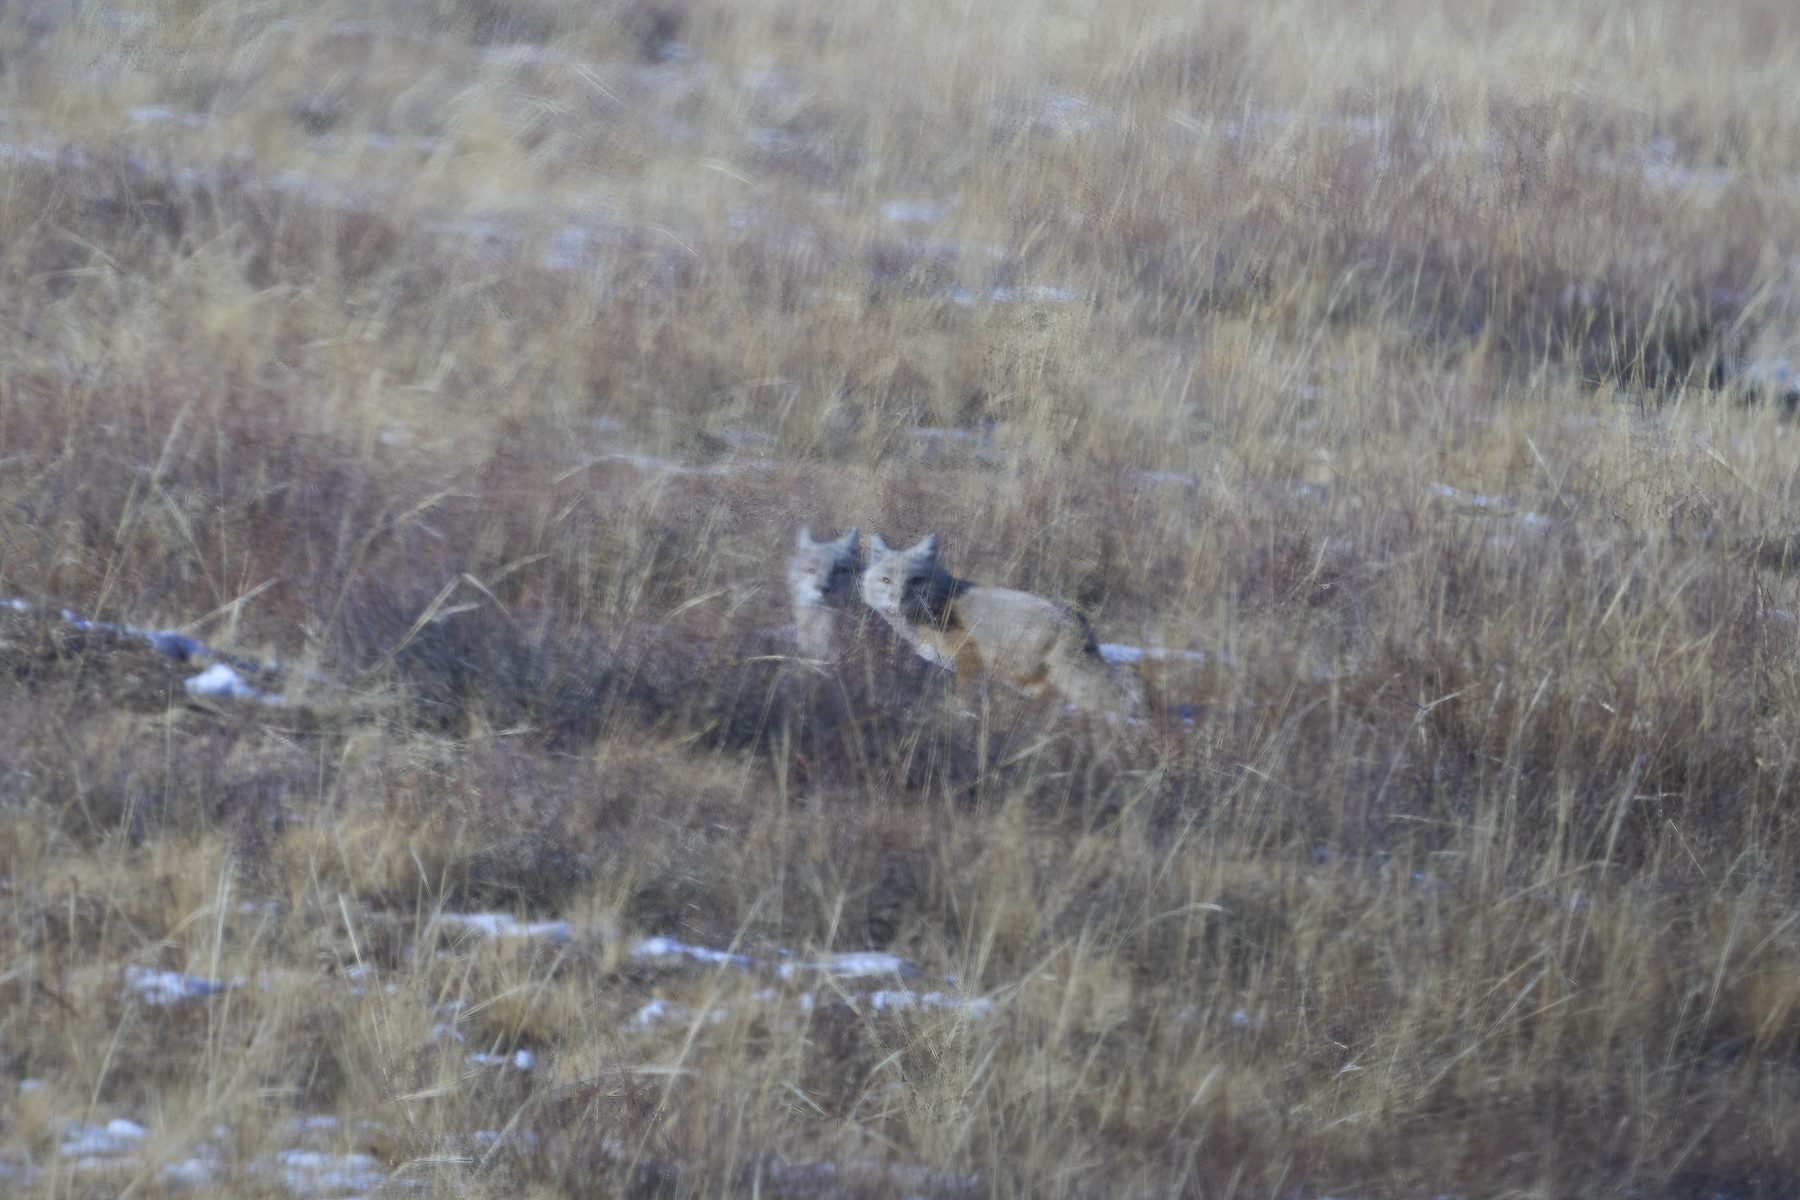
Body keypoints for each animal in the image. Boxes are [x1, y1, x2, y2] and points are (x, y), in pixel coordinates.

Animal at [861, 533, 1145, 718]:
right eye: (886, 580)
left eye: (915, 580)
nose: (898, 599)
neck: (938, 606)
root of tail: (1072, 617)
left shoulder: (970, 660)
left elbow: (962, 700)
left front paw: (958, 715)